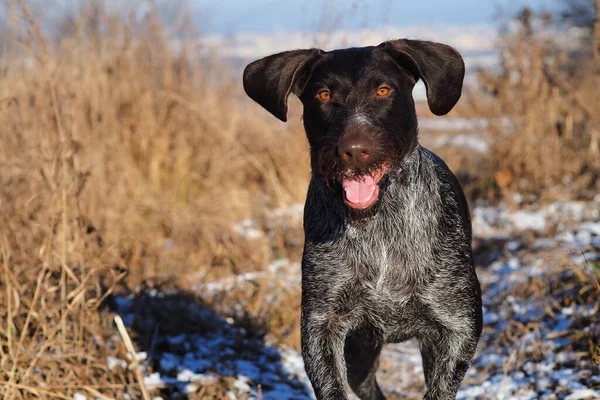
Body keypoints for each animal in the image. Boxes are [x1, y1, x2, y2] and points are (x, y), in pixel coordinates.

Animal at [241, 38, 480, 400]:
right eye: (324, 94)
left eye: (383, 90)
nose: (354, 150)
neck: (378, 226)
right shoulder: (322, 326)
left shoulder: (458, 326)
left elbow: (440, 387)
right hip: (359, 354)